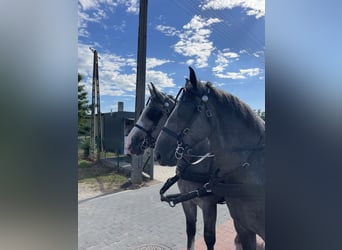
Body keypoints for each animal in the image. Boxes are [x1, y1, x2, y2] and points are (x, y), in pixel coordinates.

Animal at [125, 83, 224, 249]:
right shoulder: (188, 202)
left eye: (153, 113)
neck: (196, 163)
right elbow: (190, 230)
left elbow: (209, 238)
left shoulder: (209, 205)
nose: (129, 144)